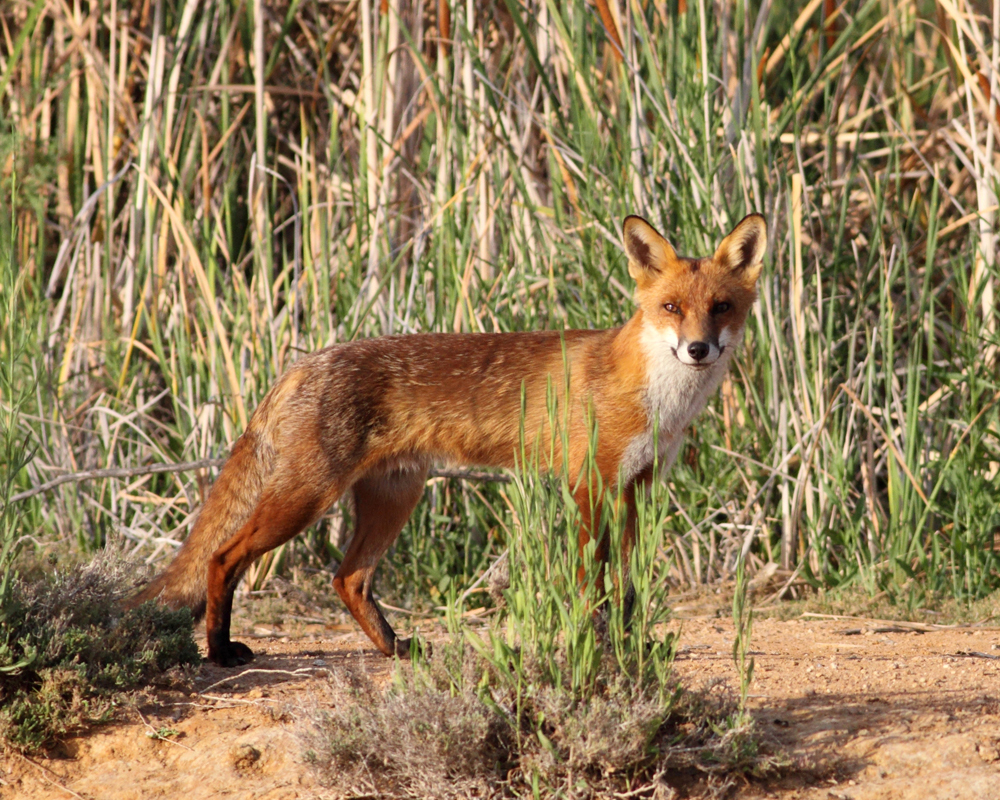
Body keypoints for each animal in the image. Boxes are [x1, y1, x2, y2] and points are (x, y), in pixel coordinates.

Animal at [125, 214, 764, 668]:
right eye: (671, 308)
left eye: (721, 308)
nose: (698, 349)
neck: (657, 402)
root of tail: (303, 364)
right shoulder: (591, 487)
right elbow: (593, 587)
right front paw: (596, 646)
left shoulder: (638, 489)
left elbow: (627, 590)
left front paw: (631, 647)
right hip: (304, 499)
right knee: (223, 557)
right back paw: (218, 651)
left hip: (394, 498)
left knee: (347, 579)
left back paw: (394, 649)